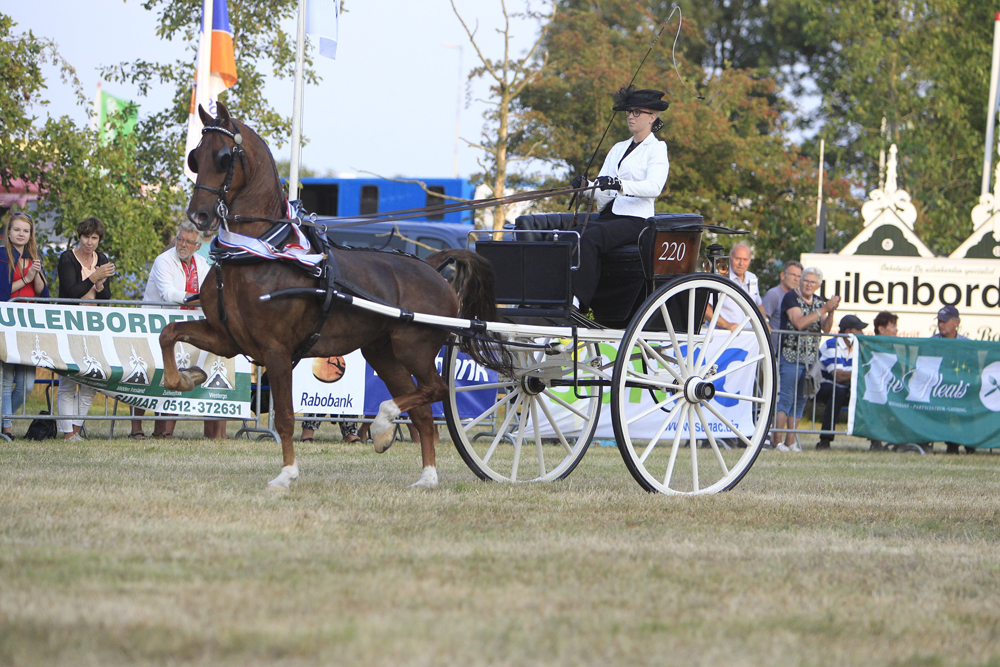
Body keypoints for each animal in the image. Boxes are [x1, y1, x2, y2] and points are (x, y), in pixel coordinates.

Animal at [166, 104, 498, 490]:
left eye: (222, 157)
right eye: (194, 157)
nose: (198, 215)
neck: (253, 254)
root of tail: (432, 267)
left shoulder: (276, 351)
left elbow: (285, 417)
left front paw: (286, 474)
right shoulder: (228, 338)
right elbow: (168, 334)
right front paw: (185, 379)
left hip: (413, 348)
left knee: (436, 390)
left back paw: (383, 426)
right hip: (383, 353)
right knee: (423, 412)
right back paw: (423, 473)